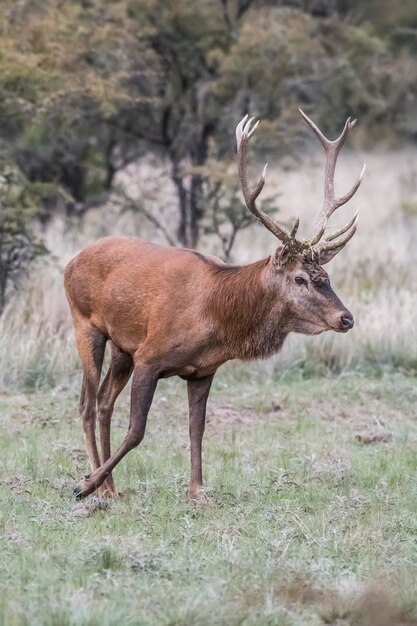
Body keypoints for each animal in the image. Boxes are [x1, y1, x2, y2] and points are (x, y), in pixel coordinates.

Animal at [63, 108, 362, 502]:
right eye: (300, 278)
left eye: (326, 275)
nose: (346, 318)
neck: (217, 317)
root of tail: (70, 262)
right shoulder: (150, 357)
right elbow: (138, 430)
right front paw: (83, 483)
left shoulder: (203, 370)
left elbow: (197, 429)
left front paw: (197, 491)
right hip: (85, 324)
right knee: (85, 403)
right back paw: (94, 484)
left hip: (122, 347)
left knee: (103, 402)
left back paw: (110, 487)